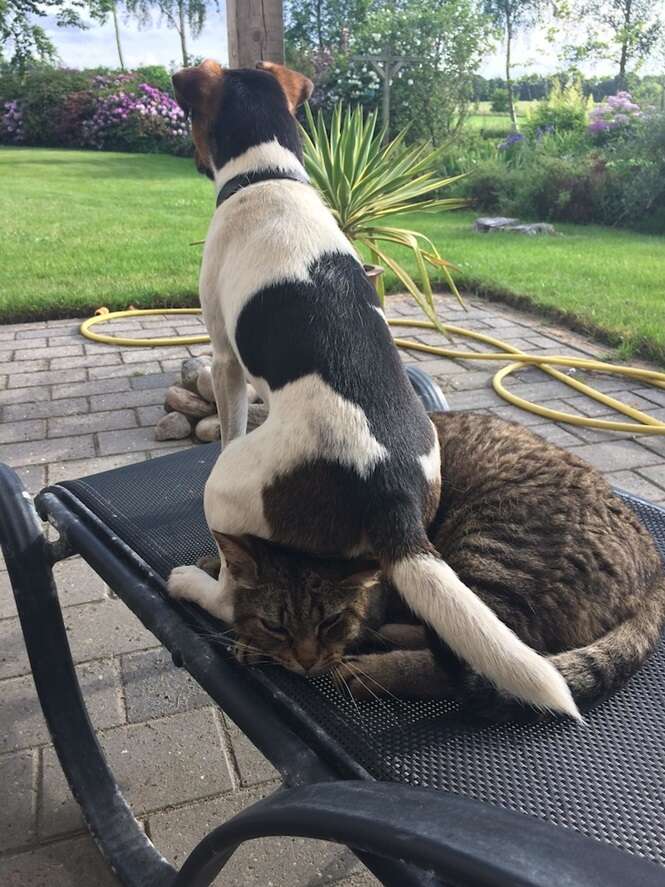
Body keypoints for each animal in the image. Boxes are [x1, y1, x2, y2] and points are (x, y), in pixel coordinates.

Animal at [166, 59, 576, 720]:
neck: (268, 175)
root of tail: (389, 491)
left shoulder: (224, 358)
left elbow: (228, 421)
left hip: (226, 491)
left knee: (235, 596)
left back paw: (194, 584)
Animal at [211, 412, 664, 720]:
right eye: (275, 624)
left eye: (330, 622)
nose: (305, 660)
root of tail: (655, 565)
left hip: (491, 549)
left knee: (488, 653)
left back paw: (381, 665)